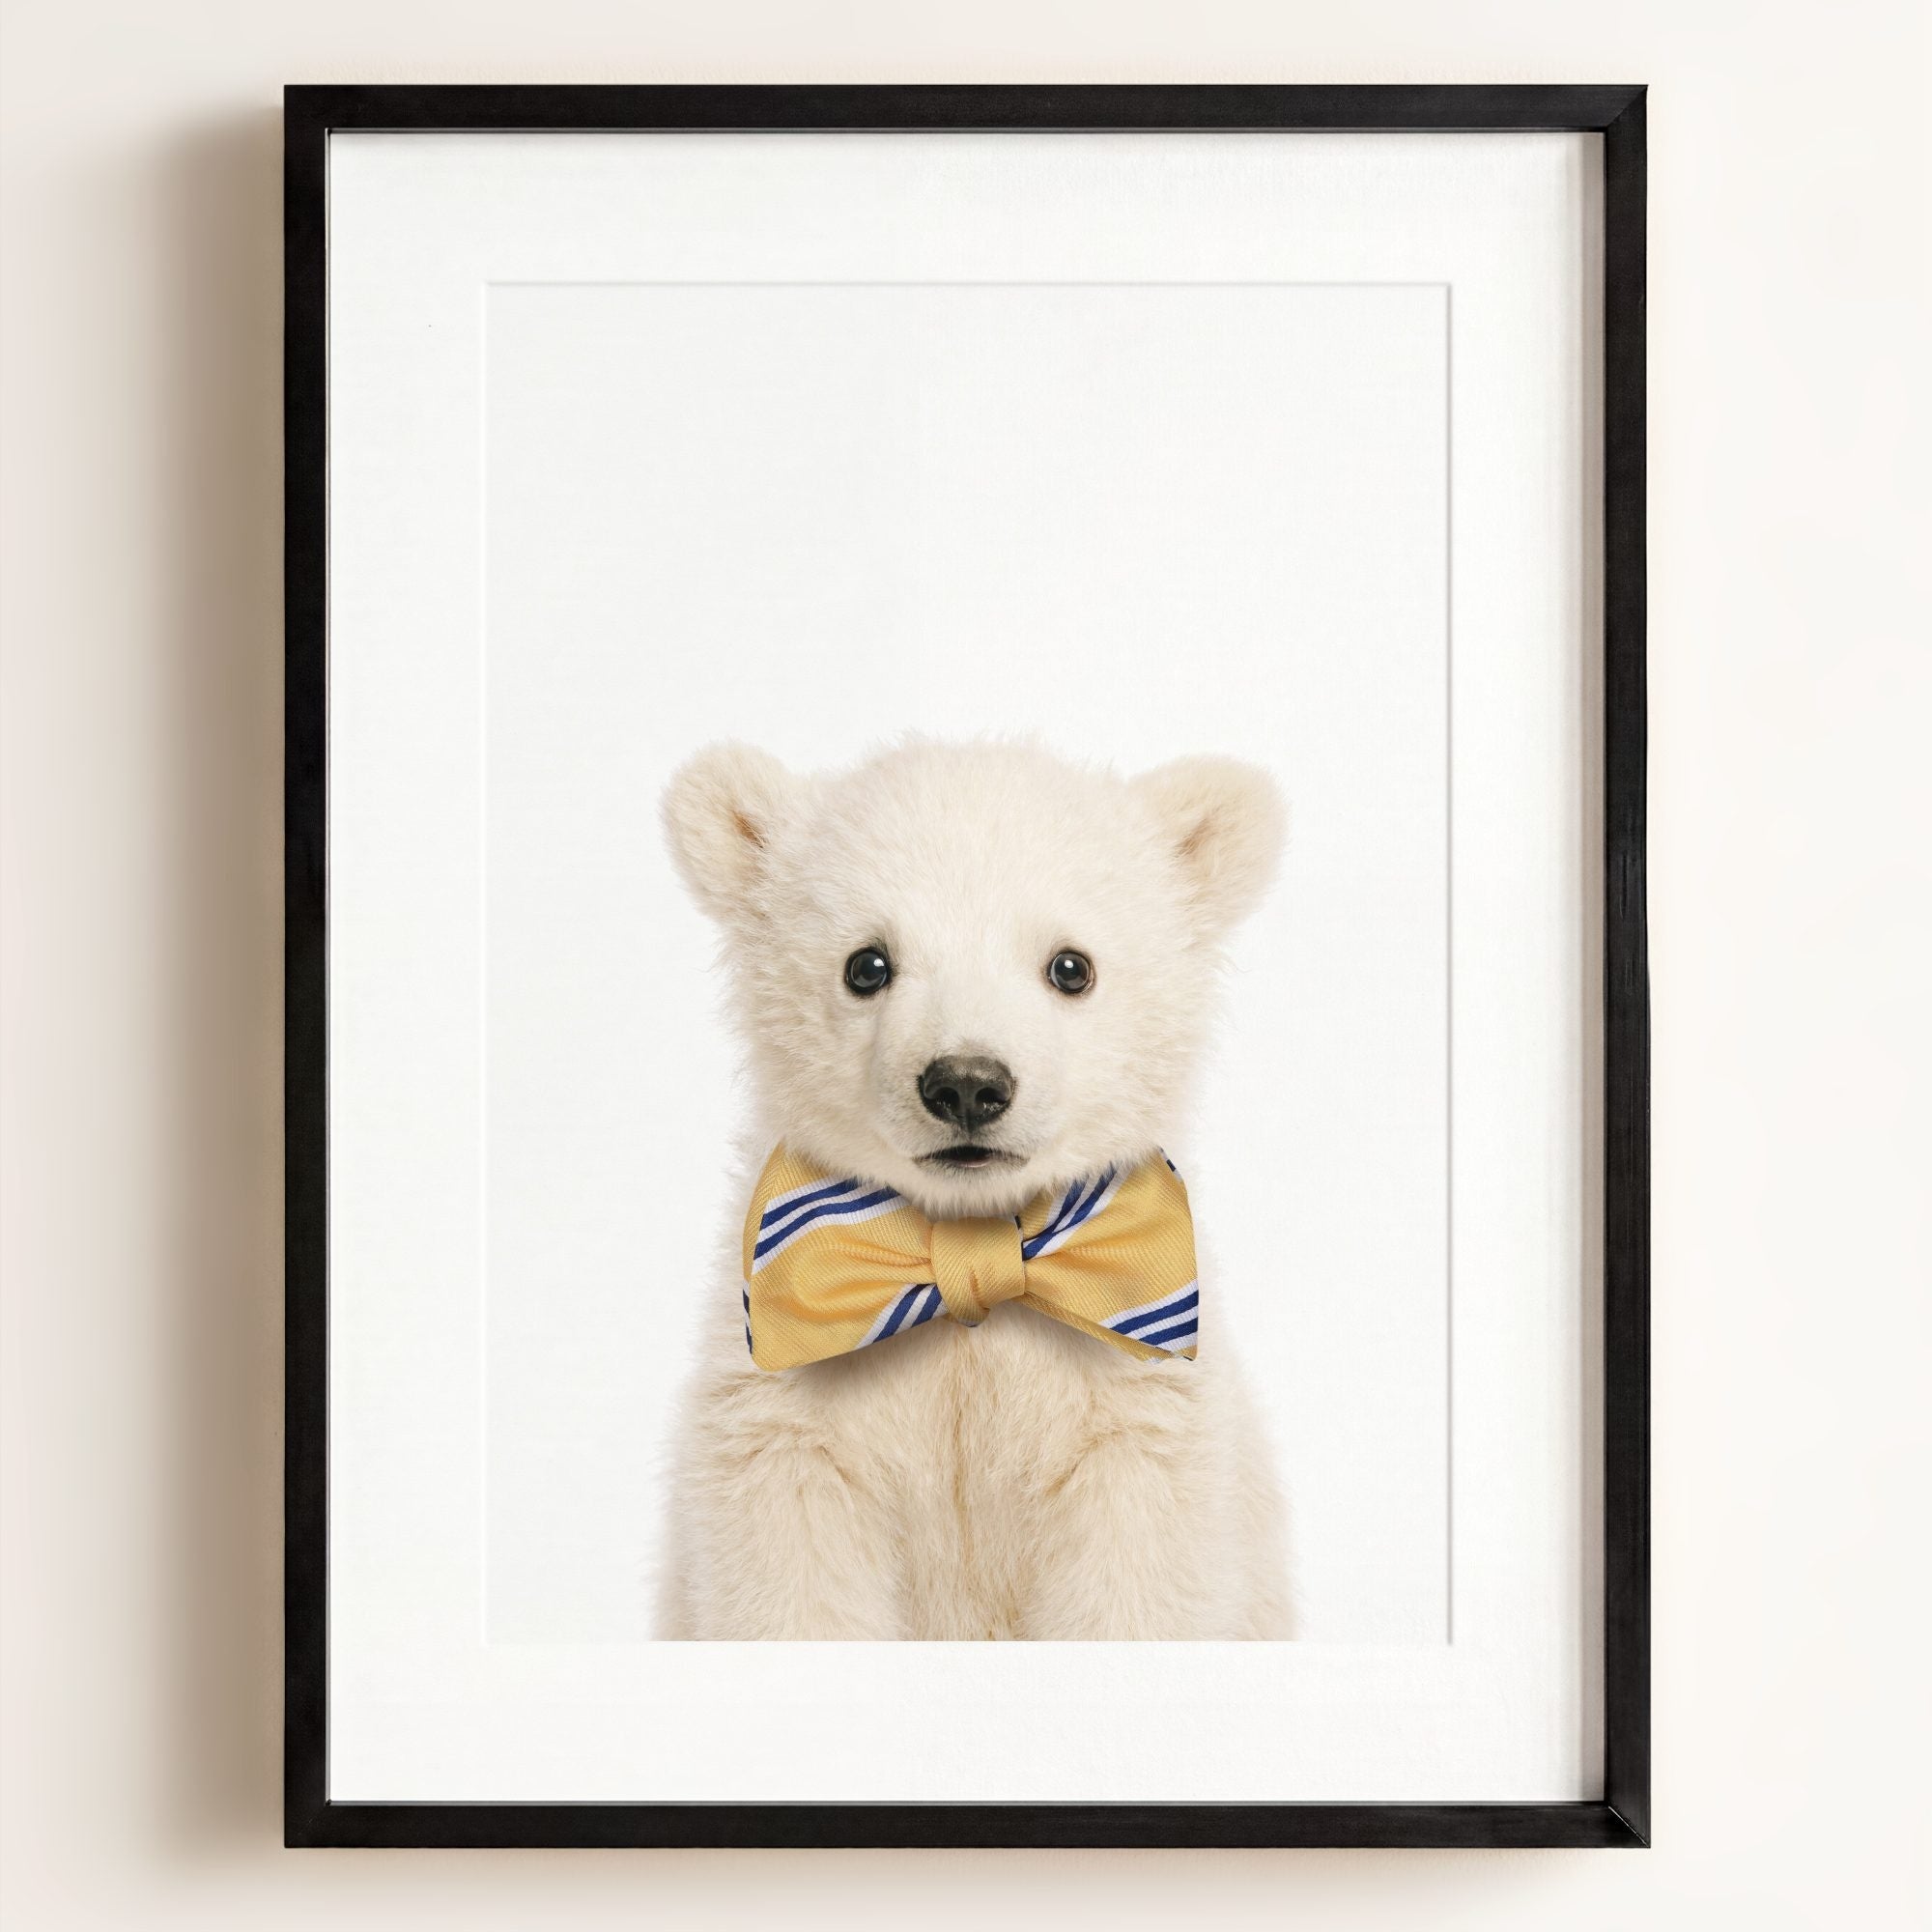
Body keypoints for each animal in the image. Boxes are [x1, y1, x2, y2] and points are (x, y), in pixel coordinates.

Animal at [653, 737, 1291, 1640]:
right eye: (867, 964)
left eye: (1071, 967)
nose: (966, 1084)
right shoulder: (785, 1414)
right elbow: (790, 1572)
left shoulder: (1132, 1416)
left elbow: (1136, 1579)